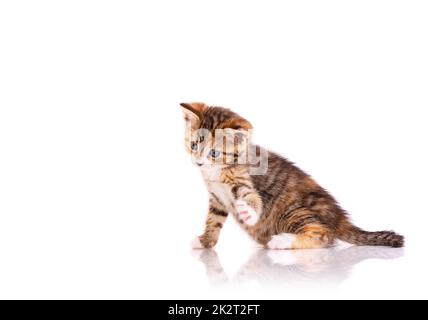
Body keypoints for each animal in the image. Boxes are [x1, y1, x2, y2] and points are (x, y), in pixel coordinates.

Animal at [181, 102, 404, 250]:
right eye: (193, 145)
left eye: (214, 153)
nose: (199, 163)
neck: (216, 173)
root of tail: (340, 217)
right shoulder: (217, 199)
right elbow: (213, 220)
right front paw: (205, 241)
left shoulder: (244, 181)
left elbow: (252, 198)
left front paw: (248, 212)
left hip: (294, 211)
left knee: (324, 235)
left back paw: (284, 241)